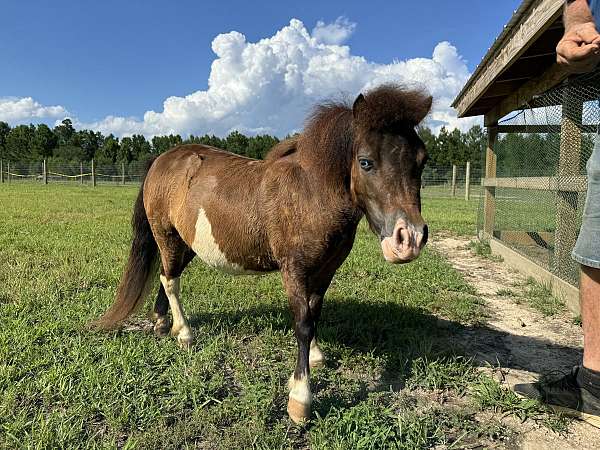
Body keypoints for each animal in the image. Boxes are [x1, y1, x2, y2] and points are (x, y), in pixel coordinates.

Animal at [94, 85, 432, 426]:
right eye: (365, 162)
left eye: (422, 160)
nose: (409, 240)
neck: (311, 192)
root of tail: (162, 159)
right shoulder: (293, 269)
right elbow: (303, 323)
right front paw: (300, 399)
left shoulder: (326, 269)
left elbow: (314, 312)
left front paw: (316, 355)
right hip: (167, 236)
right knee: (170, 279)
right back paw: (185, 334)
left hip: (186, 243)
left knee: (166, 276)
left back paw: (165, 324)